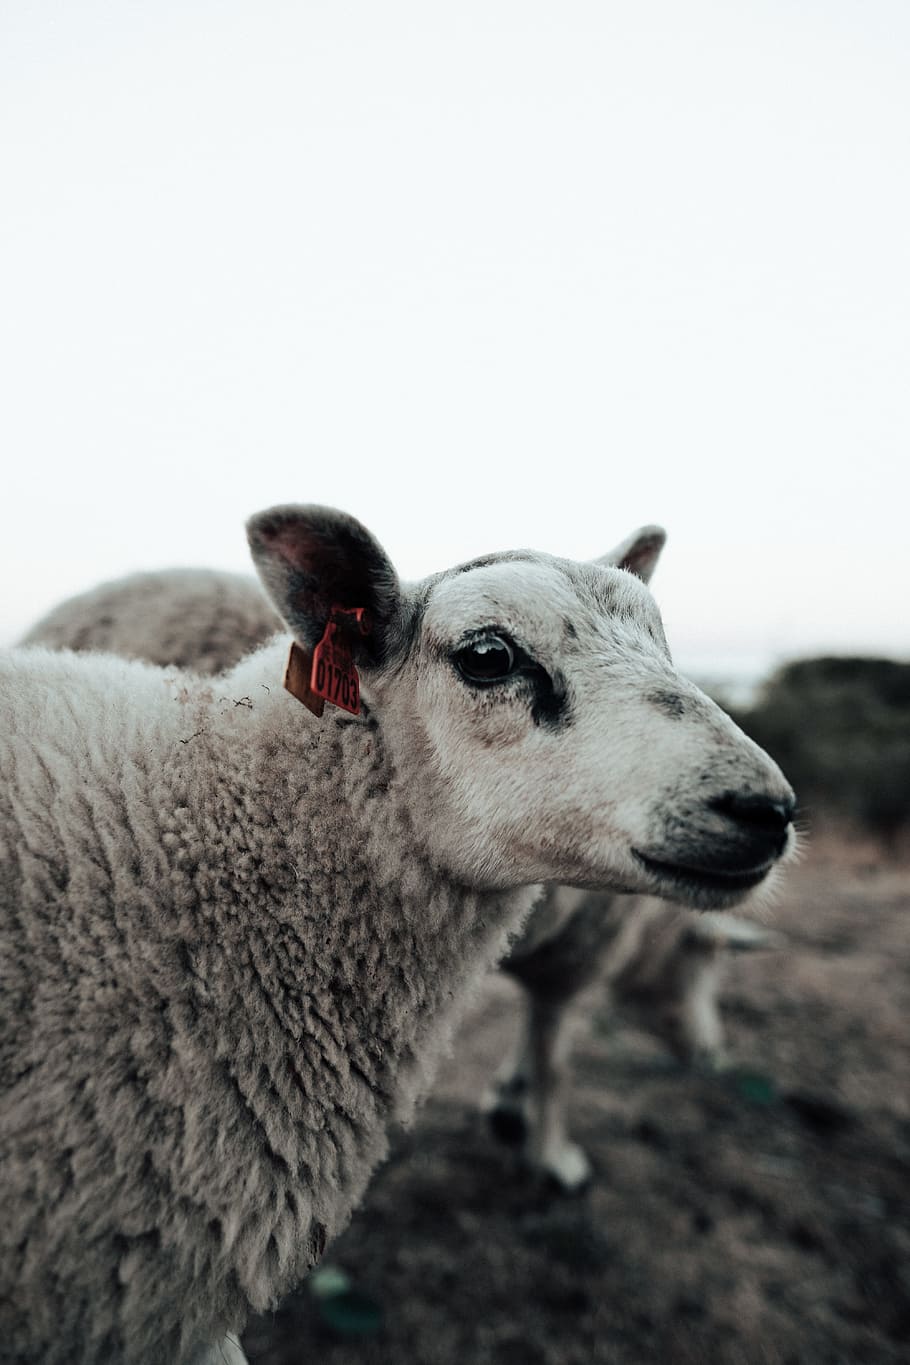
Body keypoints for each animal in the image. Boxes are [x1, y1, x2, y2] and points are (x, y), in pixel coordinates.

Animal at [2, 503, 796, 1364]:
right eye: (488, 656)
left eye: (663, 641)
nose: (768, 810)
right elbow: (557, 1056)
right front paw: (552, 1153)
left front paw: (509, 1107)